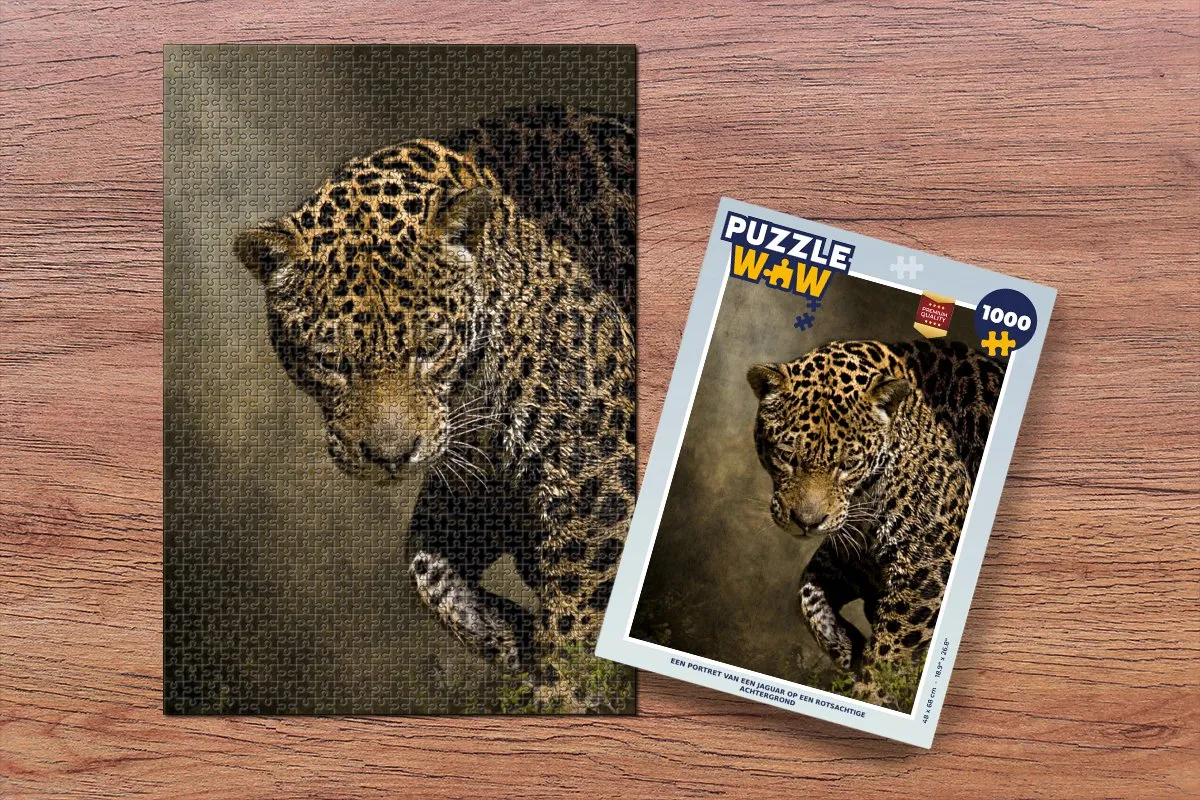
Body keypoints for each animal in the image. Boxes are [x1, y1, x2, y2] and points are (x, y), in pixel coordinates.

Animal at [234, 105, 637, 713]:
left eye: (431, 347)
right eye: (332, 361)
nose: (390, 456)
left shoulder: (597, 479)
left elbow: (575, 620)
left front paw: (561, 692)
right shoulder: (474, 483)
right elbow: (425, 568)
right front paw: (514, 637)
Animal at [747, 338, 1005, 711]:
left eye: (848, 464)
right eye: (786, 456)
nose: (807, 523)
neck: (864, 500)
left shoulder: (927, 567)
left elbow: (890, 650)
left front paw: (869, 695)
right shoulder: (849, 559)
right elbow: (807, 594)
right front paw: (845, 646)